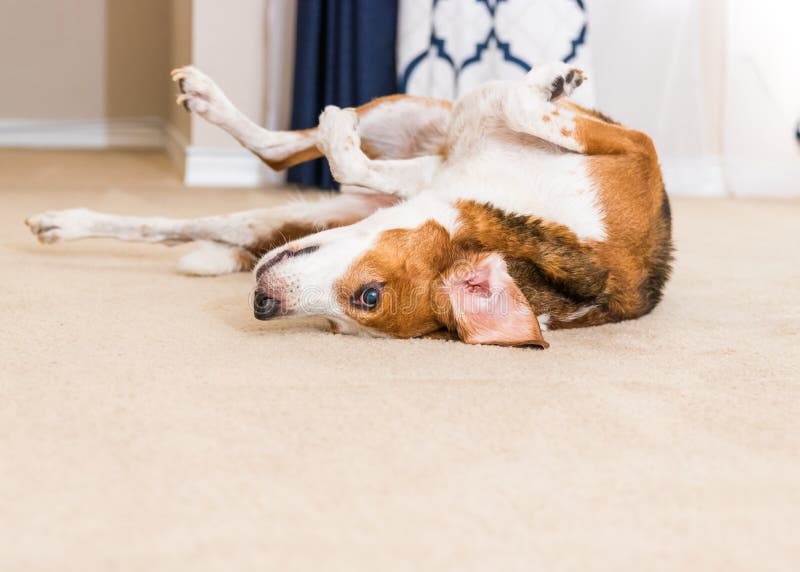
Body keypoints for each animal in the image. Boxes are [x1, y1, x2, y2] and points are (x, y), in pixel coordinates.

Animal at [25, 63, 672, 348]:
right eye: (370, 294)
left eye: (357, 308)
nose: (262, 305)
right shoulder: (635, 147)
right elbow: (516, 101)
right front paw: (553, 80)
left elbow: (345, 159)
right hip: (402, 113)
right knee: (286, 147)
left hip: (301, 214)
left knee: (236, 193)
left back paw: (65, 224)